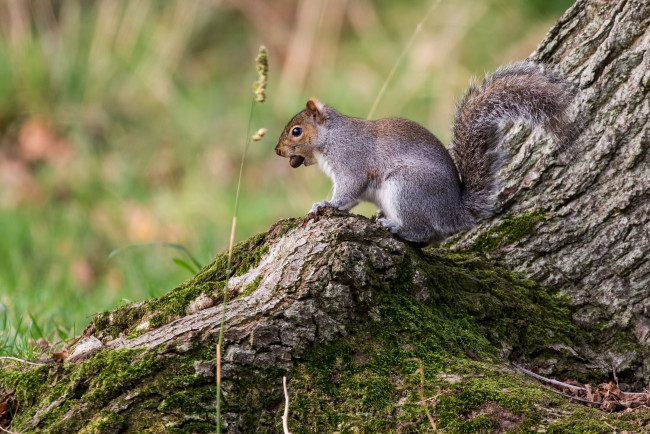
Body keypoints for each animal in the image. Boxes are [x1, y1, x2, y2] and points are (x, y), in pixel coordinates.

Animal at [274, 60, 572, 244]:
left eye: (296, 131)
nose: (277, 151)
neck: (330, 137)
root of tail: (455, 212)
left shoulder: (351, 161)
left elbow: (349, 190)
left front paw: (327, 204)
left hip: (407, 188)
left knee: (424, 231)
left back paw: (397, 228)